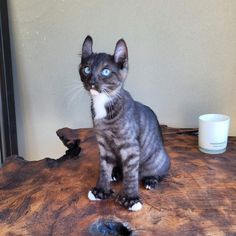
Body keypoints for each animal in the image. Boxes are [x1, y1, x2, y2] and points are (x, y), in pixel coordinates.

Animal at [79, 36, 170, 211]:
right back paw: (116, 173)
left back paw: (151, 179)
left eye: (106, 71)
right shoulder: (103, 144)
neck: (103, 103)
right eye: (86, 69)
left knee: (159, 171)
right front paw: (101, 190)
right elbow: (104, 168)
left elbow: (131, 174)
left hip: (158, 158)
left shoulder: (130, 146)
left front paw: (130, 198)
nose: (92, 82)